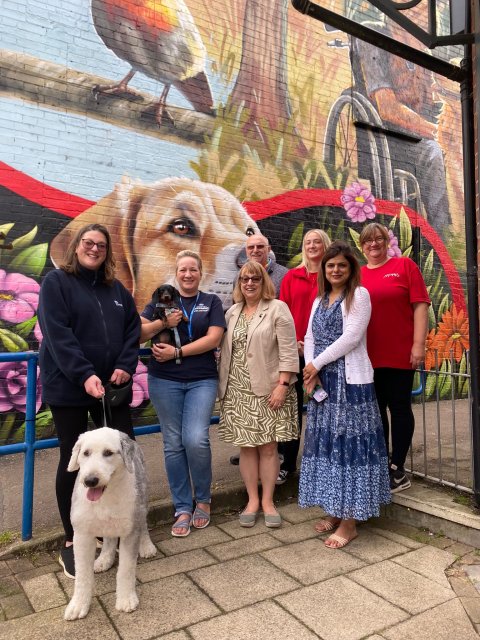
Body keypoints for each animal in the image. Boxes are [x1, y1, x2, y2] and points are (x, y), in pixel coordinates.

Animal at [63, 428, 157, 624]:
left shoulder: (130, 530)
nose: (90, 480)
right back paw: (104, 559)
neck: (106, 496)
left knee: (143, 523)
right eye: (86, 453)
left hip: (142, 498)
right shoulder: (82, 534)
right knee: (109, 538)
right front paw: (78, 606)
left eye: (108, 453)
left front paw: (126, 600)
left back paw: (146, 546)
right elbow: (82, 575)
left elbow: (126, 569)